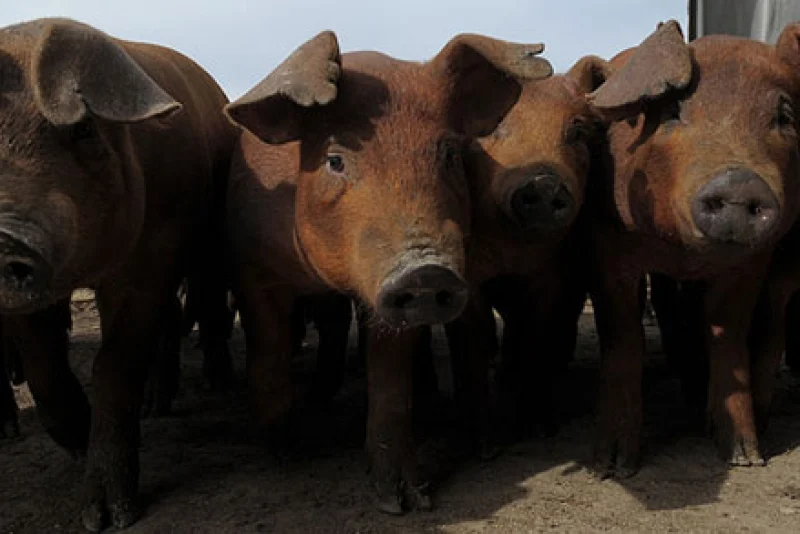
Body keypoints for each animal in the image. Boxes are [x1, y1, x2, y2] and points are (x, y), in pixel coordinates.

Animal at [0, 18, 234, 531]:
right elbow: (44, 367)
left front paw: (108, 518)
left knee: (208, 309)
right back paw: (155, 405)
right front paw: (76, 441)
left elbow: (115, 364)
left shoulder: (154, 254)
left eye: (84, 130)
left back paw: (212, 386)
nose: (5, 236)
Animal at [223, 30, 552, 513]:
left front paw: (404, 502)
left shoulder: (392, 301)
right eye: (335, 160)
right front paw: (284, 453)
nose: (426, 271)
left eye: (448, 153)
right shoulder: (251, 268)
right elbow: (269, 353)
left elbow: (392, 384)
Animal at [585, 20, 800, 477]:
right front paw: (612, 467)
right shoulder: (605, 241)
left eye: (784, 116)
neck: (684, 255)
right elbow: (622, 335)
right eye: (672, 112)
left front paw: (745, 457)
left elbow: (727, 333)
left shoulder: (754, 261)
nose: (739, 182)